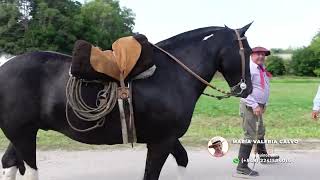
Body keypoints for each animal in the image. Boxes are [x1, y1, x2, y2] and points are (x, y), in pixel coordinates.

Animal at [0, 24, 252, 180]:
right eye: (248, 51)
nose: (247, 88)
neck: (172, 74)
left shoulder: (167, 138)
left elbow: (183, 159)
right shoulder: (161, 141)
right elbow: (151, 174)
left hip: (22, 134)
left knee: (8, 162)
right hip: (23, 135)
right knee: (29, 170)